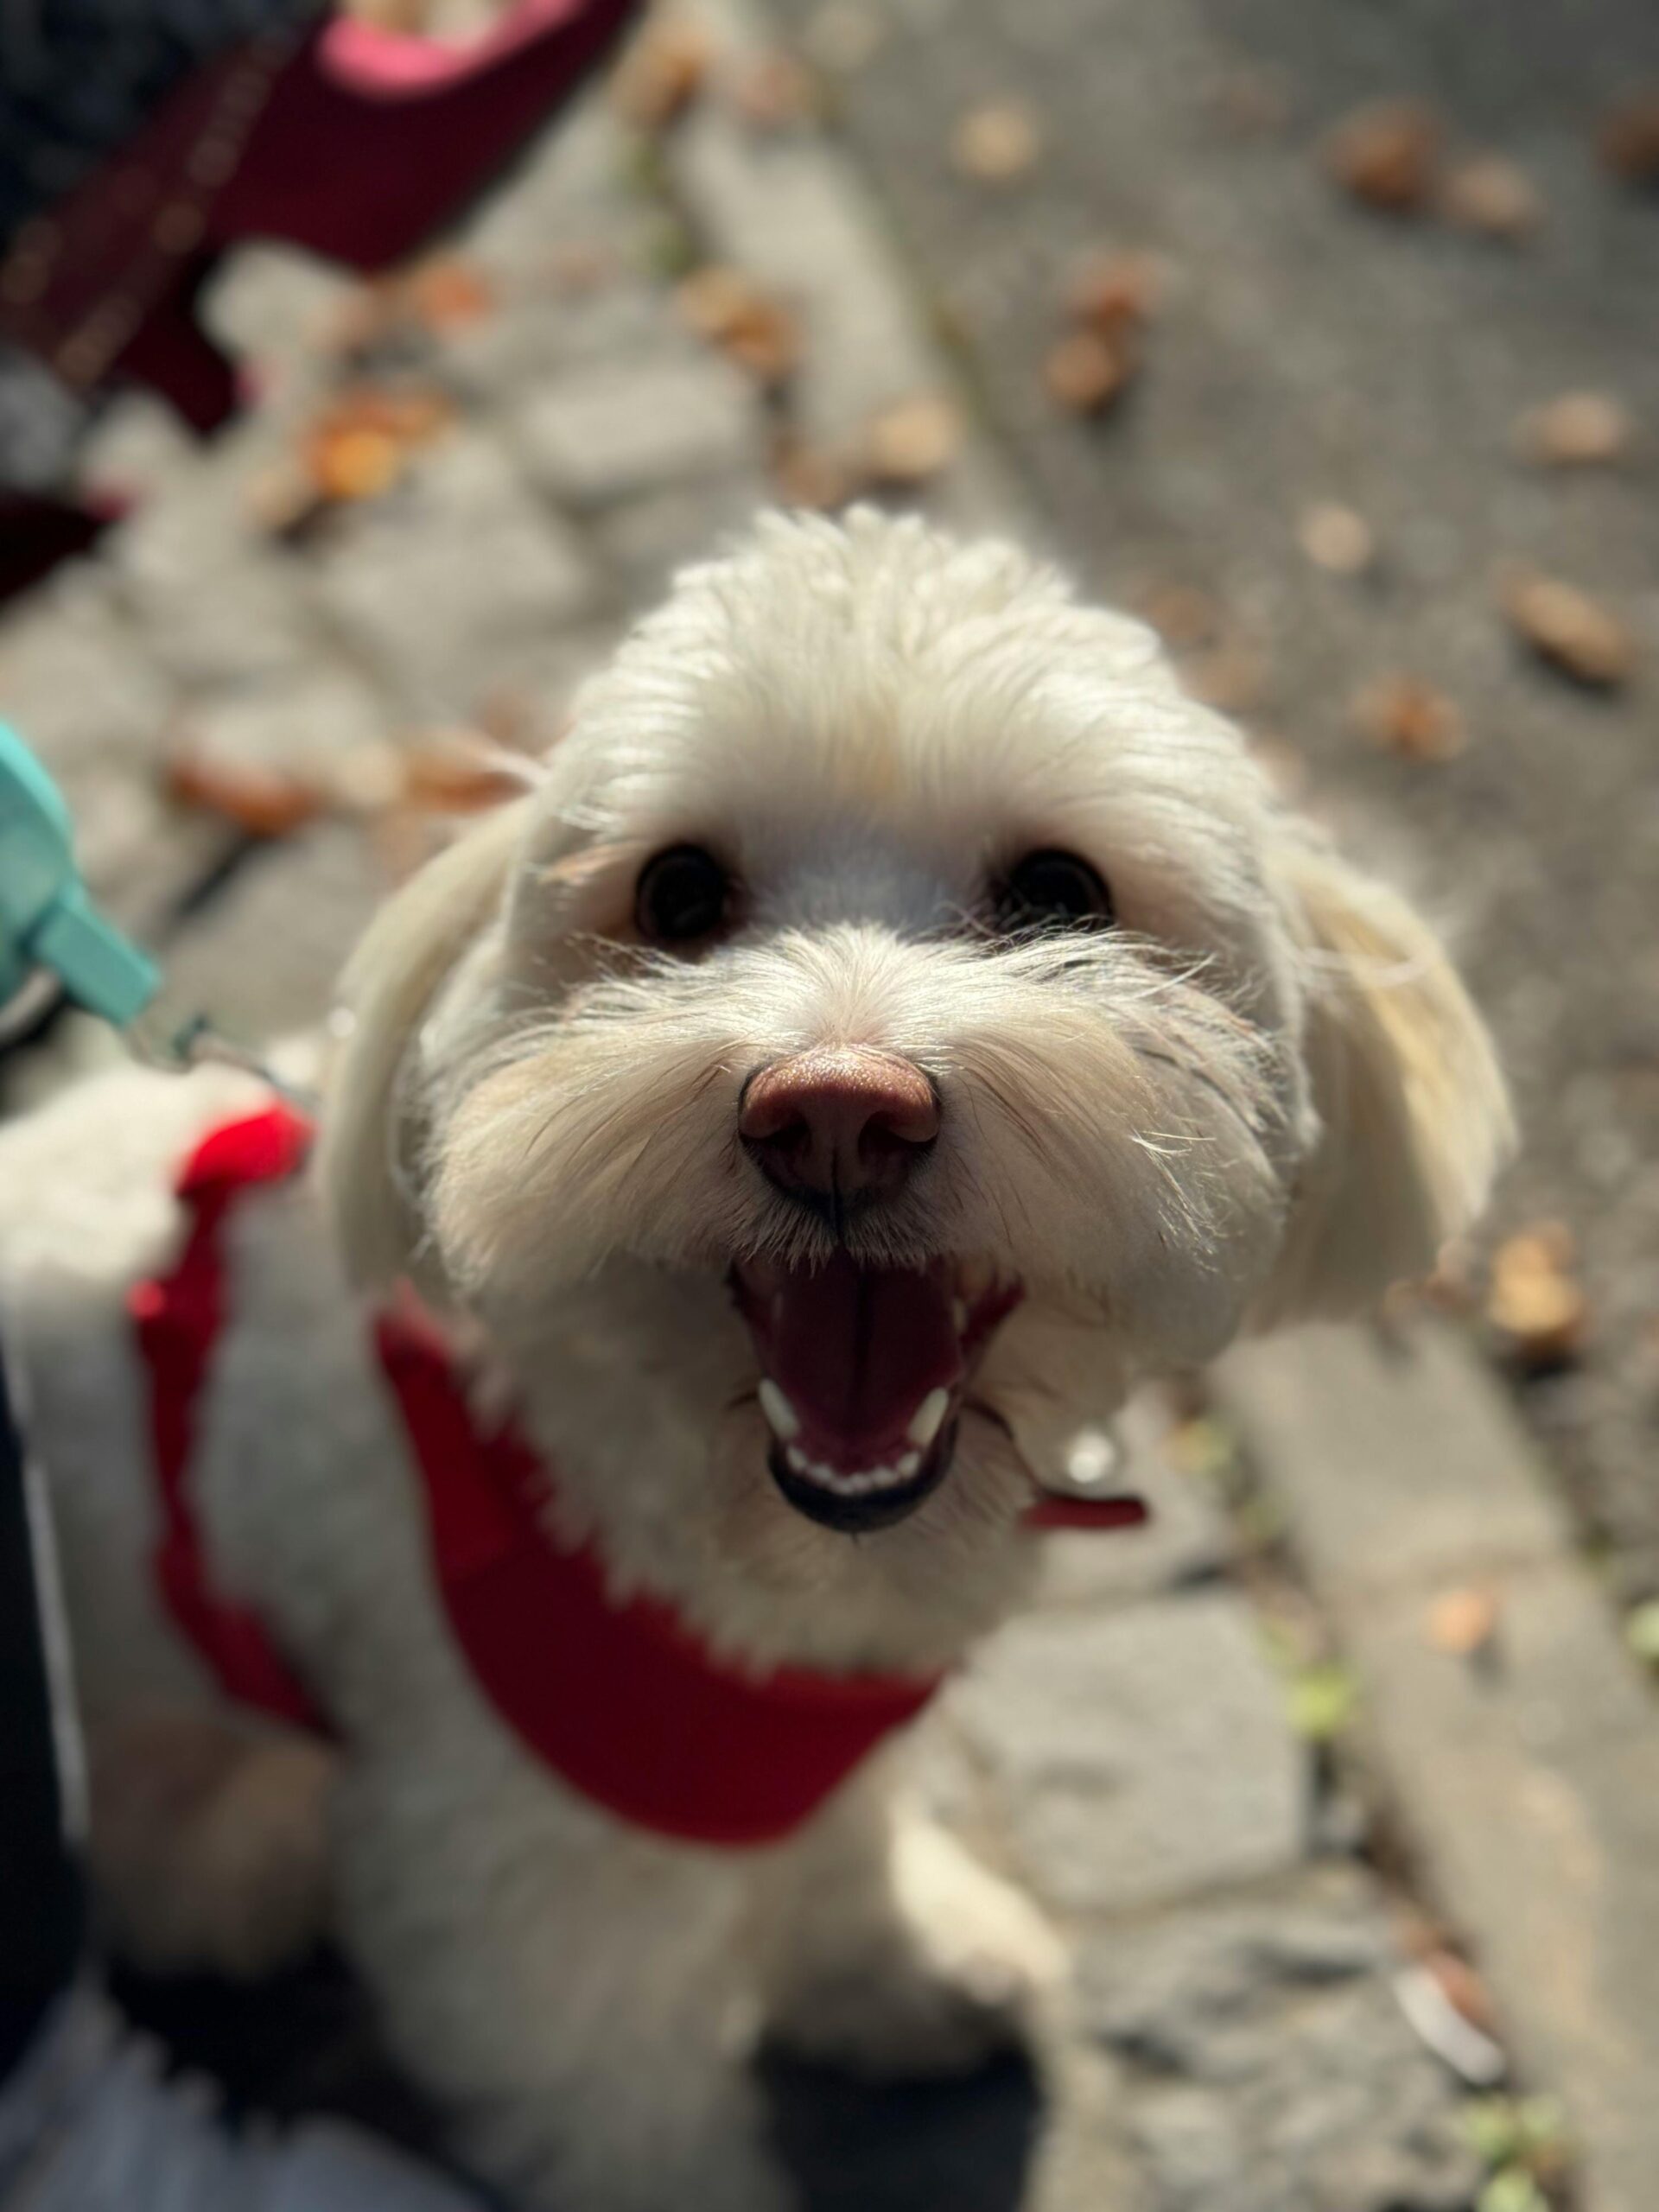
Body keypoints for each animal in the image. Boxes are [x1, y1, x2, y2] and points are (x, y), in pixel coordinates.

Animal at [0, 508, 1503, 2202]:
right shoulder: (525, 1904)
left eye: (1061, 890)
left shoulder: (792, 1740)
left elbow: (836, 1863)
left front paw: (898, 1977)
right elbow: (626, 2108)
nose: (836, 1111)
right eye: (676, 895)